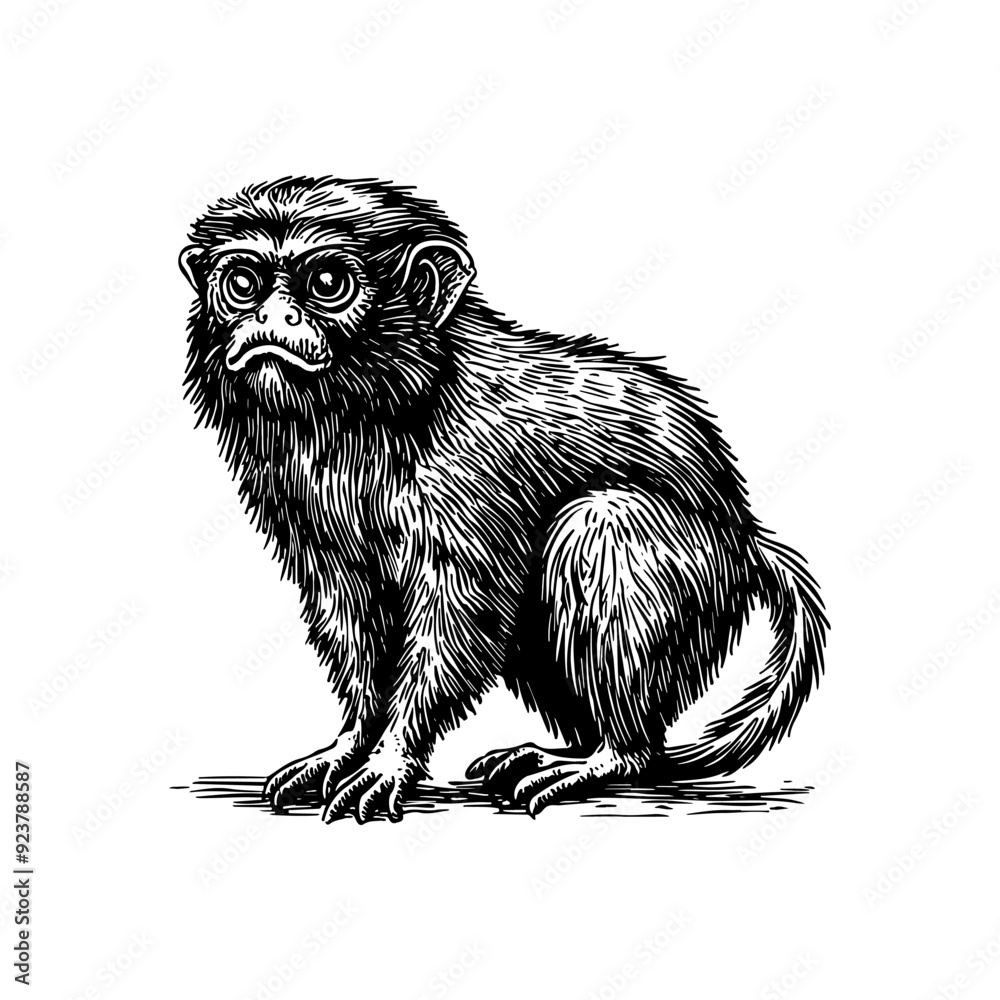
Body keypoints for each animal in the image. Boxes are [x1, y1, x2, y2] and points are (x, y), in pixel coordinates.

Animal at [179, 176, 828, 823]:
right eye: (243, 283)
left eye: (328, 284)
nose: (270, 316)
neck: (362, 417)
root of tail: (746, 540)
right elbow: (352, 614)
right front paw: (348, 744)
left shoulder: (467, 474)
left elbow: (456, 616)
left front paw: (389, 759)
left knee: (598, 523)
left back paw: (608, 756)